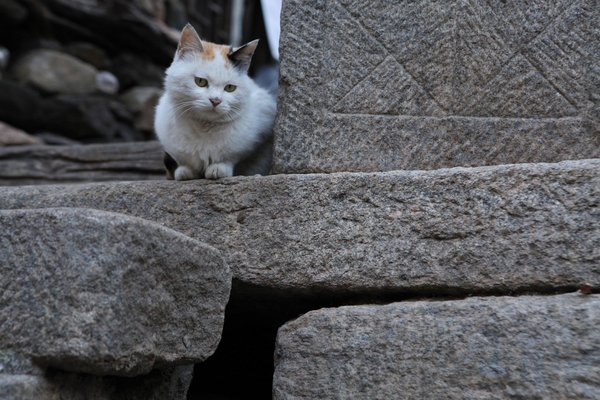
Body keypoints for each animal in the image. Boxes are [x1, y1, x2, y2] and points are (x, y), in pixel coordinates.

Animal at [155, 23, 276, 180]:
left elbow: (232, 157)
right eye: (200, 81)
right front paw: (185, 171)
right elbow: (184, 161)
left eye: (230, 88)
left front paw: (219, 168)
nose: (215, 100)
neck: (204, 128)